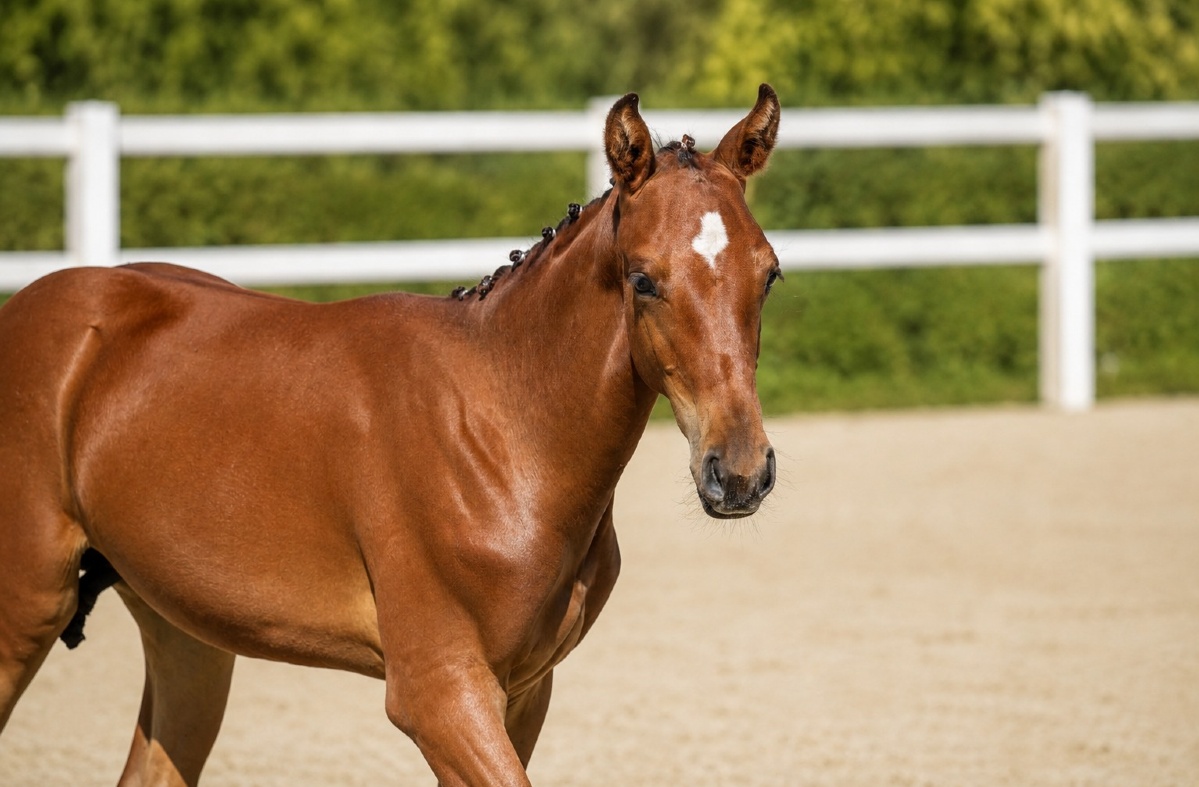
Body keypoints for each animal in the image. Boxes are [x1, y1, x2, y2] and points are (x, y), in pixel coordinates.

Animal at [0, 84, 782, 785]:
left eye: (768, 273)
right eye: (643, 278)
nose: (739, 472)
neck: (505, 430)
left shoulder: (522, 692)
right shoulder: (439, 692)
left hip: (187, 637)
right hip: (24, 614)